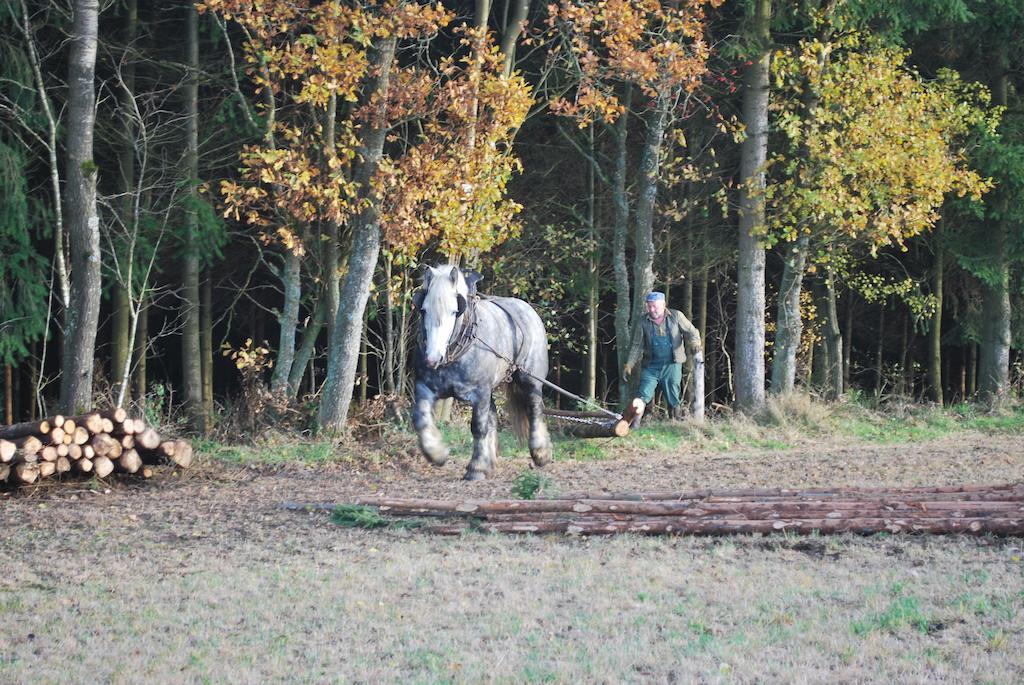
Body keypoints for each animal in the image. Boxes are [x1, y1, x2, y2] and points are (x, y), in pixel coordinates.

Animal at [409, 264, 552, 479]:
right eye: (424, 309)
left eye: (454, 311)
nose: (432, 358)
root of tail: (526, 308)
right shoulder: (425, 386)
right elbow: (421, 419)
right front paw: (436, 453)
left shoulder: (480, 391)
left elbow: (478, 427)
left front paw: (475, 468)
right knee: (492, 416)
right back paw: (489, 461)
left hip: (529, 379)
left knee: (534, 409)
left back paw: (540, 453)